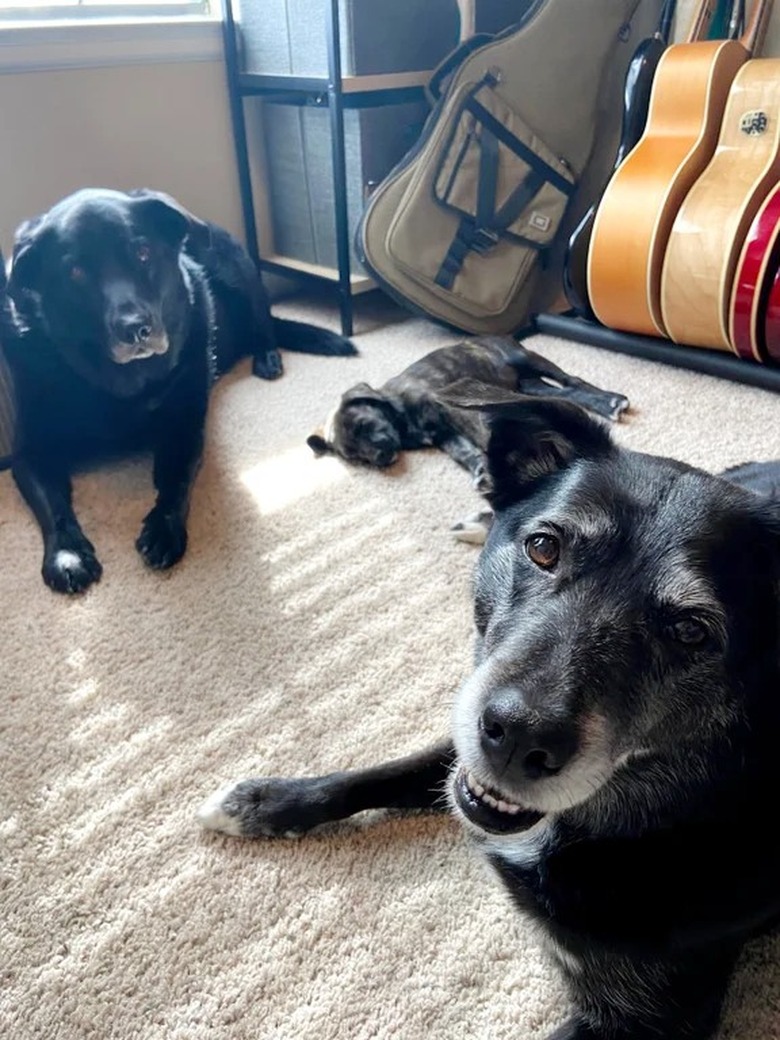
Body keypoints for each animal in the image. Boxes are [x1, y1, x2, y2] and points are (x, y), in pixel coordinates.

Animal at [2, 187, 357, 594]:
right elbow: (53, 504)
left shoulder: (184, 428)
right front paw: (67, 554)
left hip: (240, 273)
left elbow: (177, 479)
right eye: (75, 272)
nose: (136, 328)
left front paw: (164, 528)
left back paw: (267, 359)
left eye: (142, 252)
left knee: (265, 327)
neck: (125, 385)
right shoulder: (30, 452)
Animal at [305, 334, 628, 480]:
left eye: (364, 425)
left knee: (572, 380)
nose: (383, 458)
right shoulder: (444, 436)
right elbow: (462, 451)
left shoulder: (451, 408)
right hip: (527, 385)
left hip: (527, 358)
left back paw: (611, 401)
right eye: (356, 458)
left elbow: (479, 432)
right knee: (563, 395)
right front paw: (480, 469)